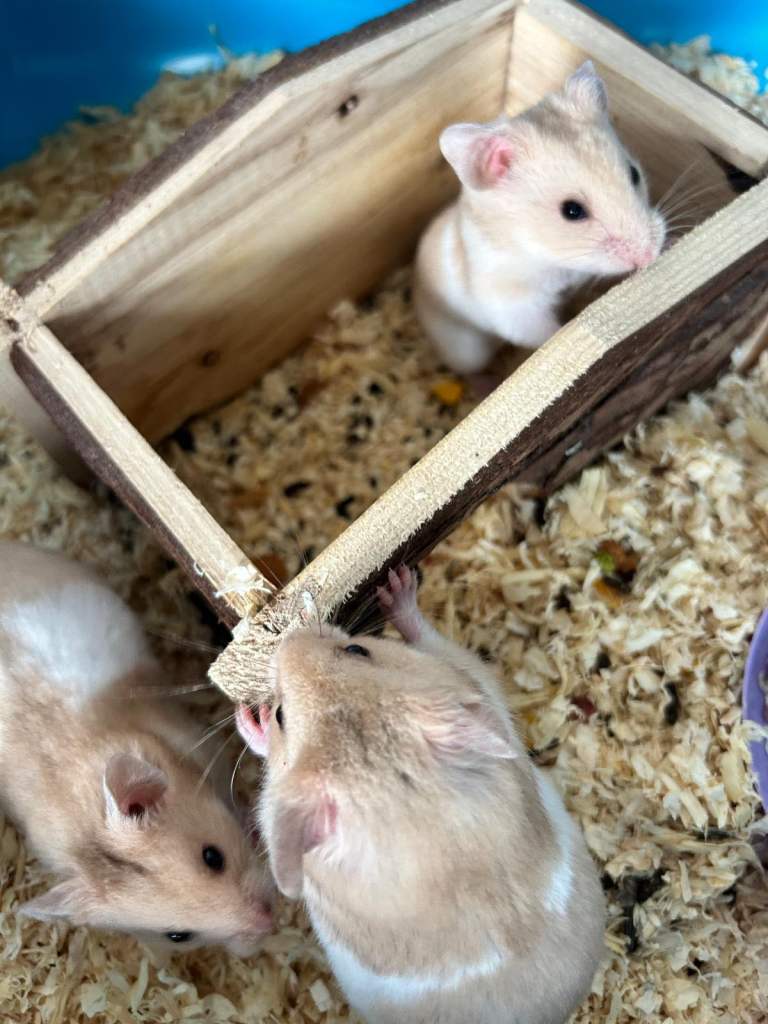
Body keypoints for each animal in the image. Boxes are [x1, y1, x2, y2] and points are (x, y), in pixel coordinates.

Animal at [414, 61, 666, 376]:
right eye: (572, 210)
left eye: (633, 174)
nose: (649, 257)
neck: (550, 258)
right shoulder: (512, 304)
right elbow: (544, 334)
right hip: (464, 346)